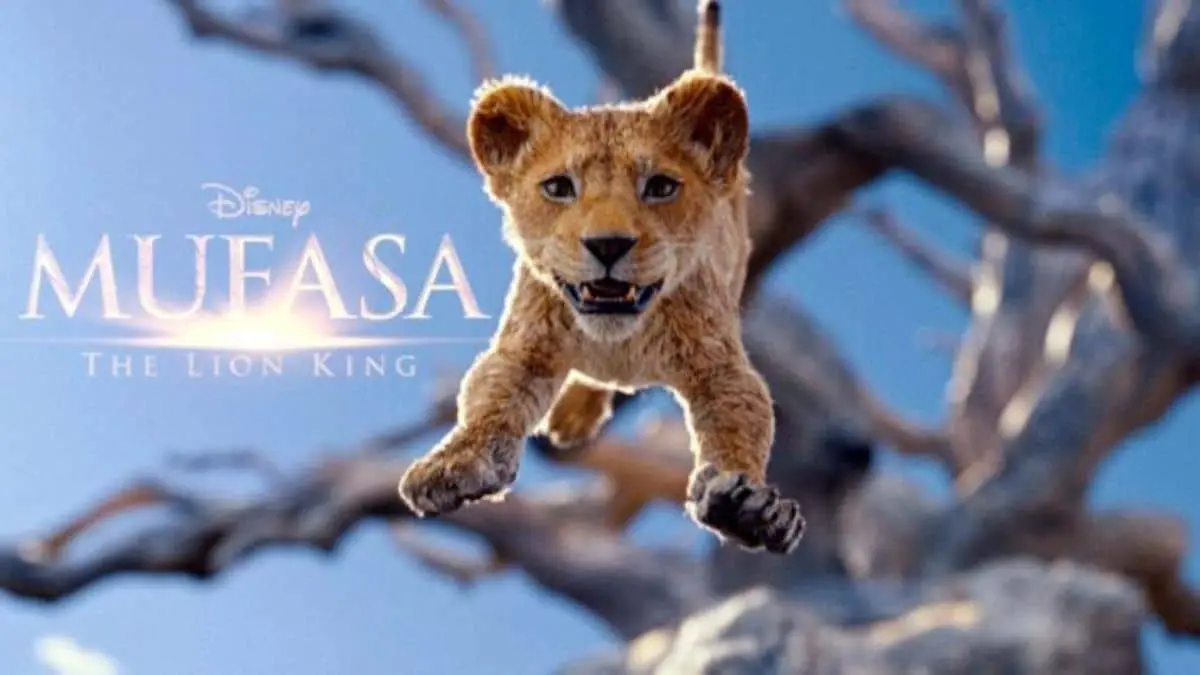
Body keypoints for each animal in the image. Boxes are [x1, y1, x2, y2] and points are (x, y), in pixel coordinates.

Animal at [398, 0, 805, 554]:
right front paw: (452, 464)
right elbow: (488, 401)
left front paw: (750, 506)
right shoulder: (524, 348)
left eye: (660, 186)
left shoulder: (720, 366)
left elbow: (740, 423)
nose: (608, 245)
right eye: (558, 187)